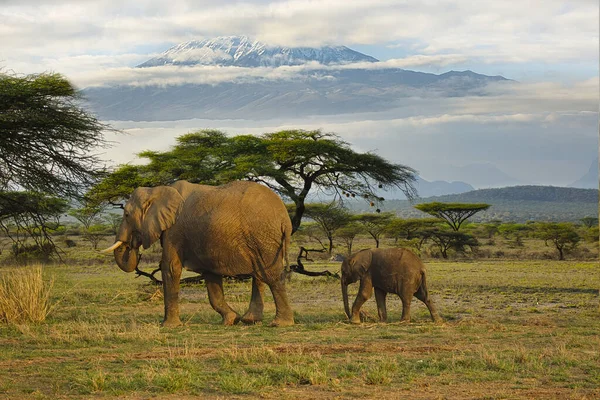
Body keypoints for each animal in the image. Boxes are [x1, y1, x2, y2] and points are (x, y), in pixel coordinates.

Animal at [102, 181, 294, 328]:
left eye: (127, 215)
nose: (133, 245)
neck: (156, 190)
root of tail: (285, 219)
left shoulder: (174, 231)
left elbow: (170, 268)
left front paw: (168, 326)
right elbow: (211, 276)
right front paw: (230, 320)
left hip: (263, 237)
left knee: (272, 276)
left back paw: (280, 324)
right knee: (259, 275)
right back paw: (250, 320)